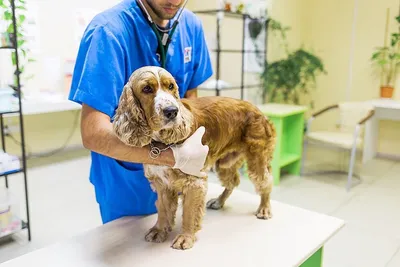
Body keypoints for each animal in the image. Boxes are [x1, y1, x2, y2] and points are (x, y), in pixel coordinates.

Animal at [111, 66, 276, 251]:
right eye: (146, 89)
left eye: (171, 86)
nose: (172, 111)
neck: (162, 142)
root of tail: (258, 110)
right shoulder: (162, 184)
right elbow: (163, 210)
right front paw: (159, 230)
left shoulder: (194, 182)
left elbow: (190, 213)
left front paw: (185, 237)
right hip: (225, 163)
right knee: (233, 181)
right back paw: (219, 201)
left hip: (257, 158)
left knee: (265, 181)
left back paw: (264, 208)